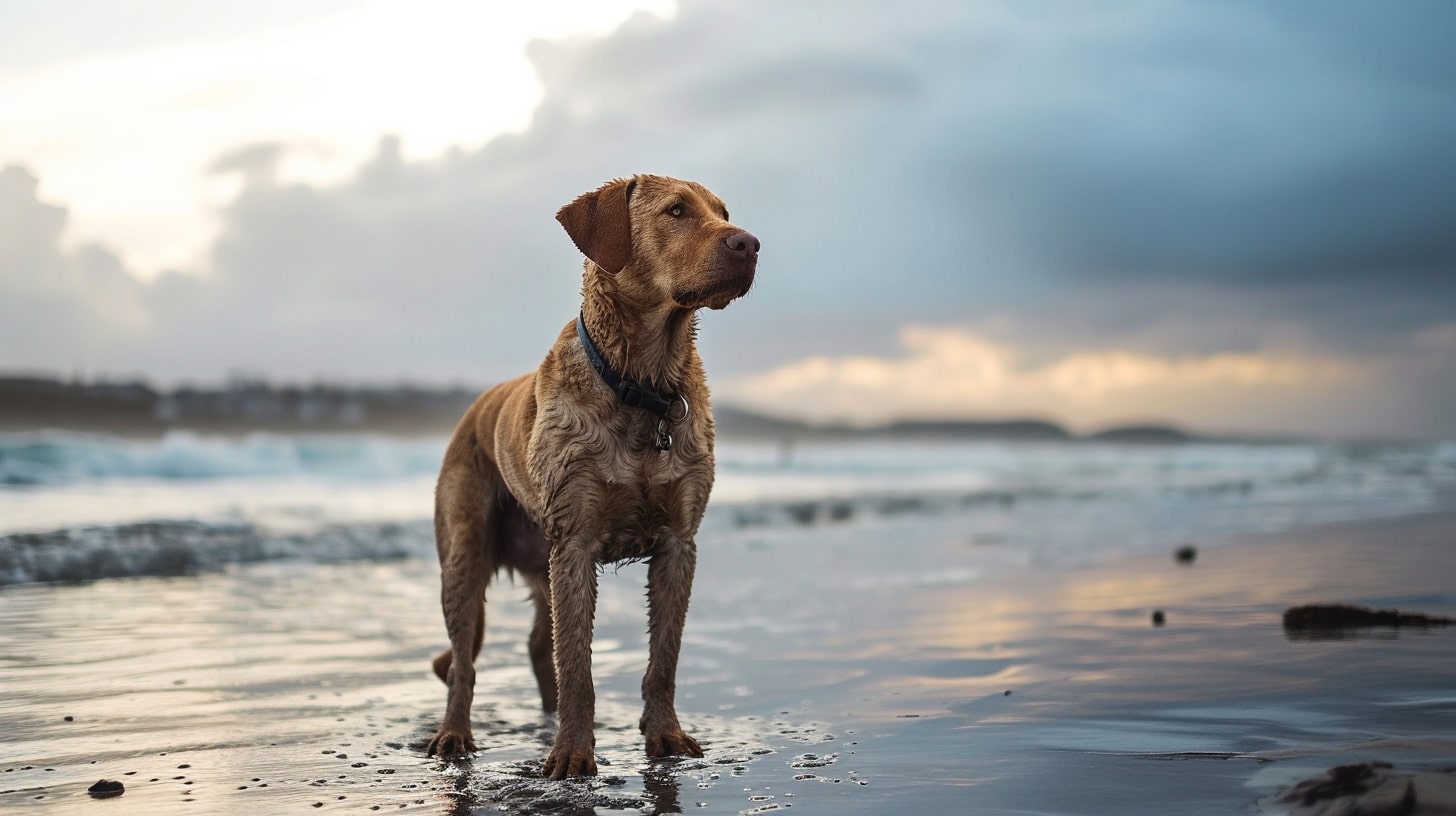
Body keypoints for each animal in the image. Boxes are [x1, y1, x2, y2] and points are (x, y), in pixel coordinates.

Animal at [425, 173, 757, 775]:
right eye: (677, 211)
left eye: (723, 212)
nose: (750, 243)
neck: (643, 384)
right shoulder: (575, 540)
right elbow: (577, 663)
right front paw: (573, 753)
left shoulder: (679, 542)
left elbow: (663, 659)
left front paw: (665, 735)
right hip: (464, 548)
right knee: (465, 660)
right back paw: (455, 734)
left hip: (538, 555)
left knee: (540, 645)